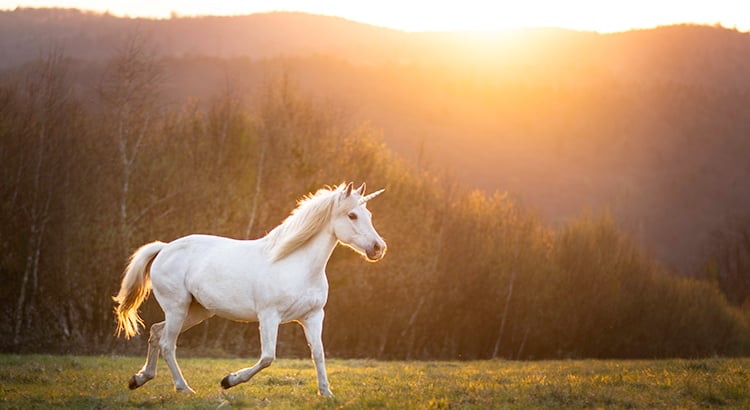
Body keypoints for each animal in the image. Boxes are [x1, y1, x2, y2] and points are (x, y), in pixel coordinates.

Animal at [116, 182, 394, 394]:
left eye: (369, 216)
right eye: (352, 215)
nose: (378, 248)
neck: (295, 264)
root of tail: (165, 248)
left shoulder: (313, 317)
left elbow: (318, 354)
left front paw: (326, 394)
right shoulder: (269, 316)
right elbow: (268, 357)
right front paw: (229, 381)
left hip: (196, 311)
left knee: (156, 332)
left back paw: (139, 379)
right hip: (178, 308)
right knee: (167, 344)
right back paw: (184, 388)